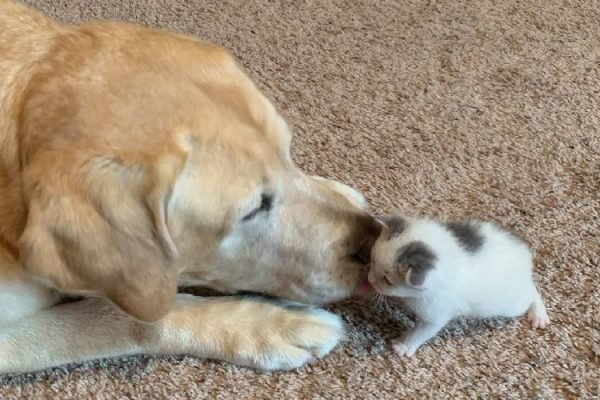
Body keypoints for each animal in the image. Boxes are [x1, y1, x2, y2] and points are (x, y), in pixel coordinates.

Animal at [1, 1, 380, 374]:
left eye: (288, 154)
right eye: (253, 209)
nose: (373, 241)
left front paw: (335, 188)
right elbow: (126, 317)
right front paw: (268, 323)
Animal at [372, 216, 552, 356]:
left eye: (388, 281)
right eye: (372, 260)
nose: (370, 280)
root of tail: (526, 257)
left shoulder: (436, 315)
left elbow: (421, 333)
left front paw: (404, 346)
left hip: (512, 305)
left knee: (533, 292)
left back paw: (539, 315)